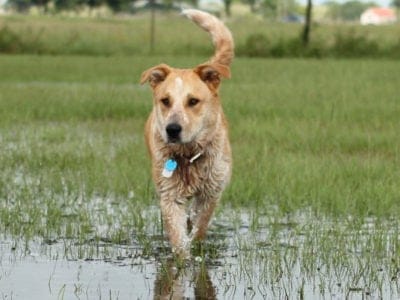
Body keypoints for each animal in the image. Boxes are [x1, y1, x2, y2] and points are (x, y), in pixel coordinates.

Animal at [141, 9, 233, 258]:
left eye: (193, 101)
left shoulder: (212, 191)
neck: (189, 156)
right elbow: (178, 235)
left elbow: (201, 225)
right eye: (165, 100)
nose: (172, 129)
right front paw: (182, 258)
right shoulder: (169, 194)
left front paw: (196, 246)